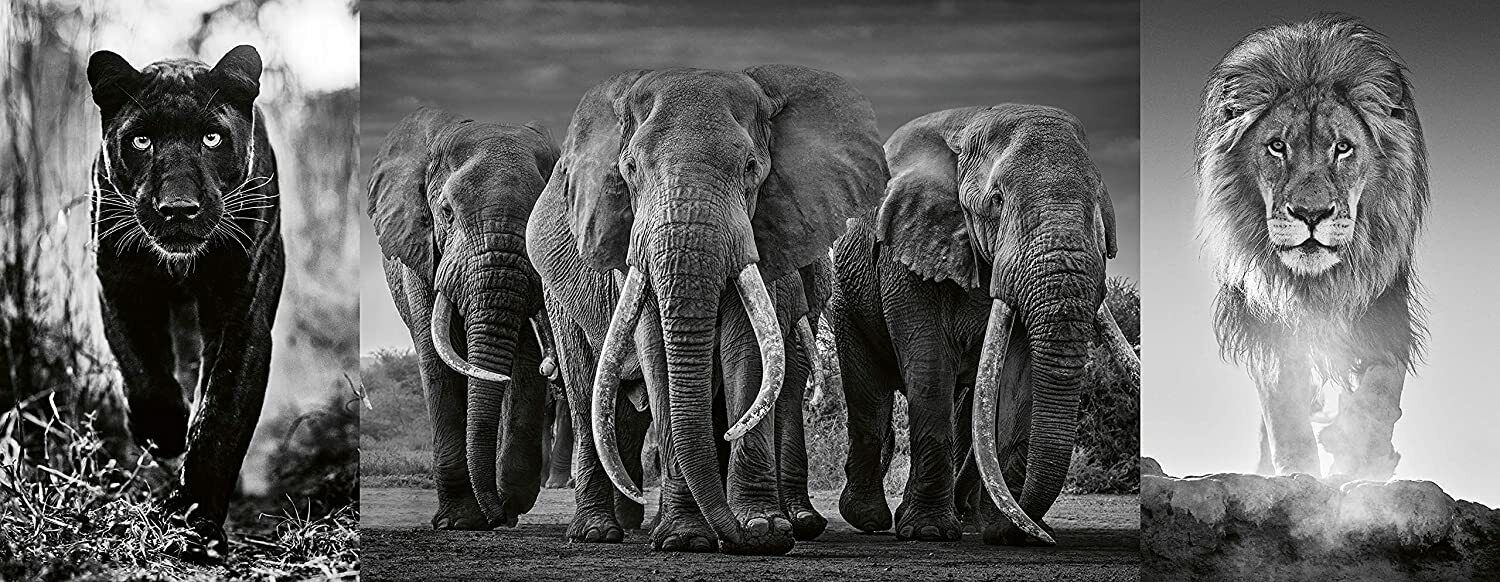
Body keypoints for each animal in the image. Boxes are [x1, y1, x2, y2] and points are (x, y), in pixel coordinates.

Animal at [369, 107, 561, 529]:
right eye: (446, 213)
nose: (498, 517)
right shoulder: (420, 251)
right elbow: (435, 357)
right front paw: (459, 521)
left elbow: (525, 360)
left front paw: (508, 504)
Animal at [525, 66, 887, 555]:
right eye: (630, 169)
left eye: (751, 167)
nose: (742, 536)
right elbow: (657, 351)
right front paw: (686, 539)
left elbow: (748, 350)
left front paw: (764, 529)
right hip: (559, 298)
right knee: (586, 394)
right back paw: (597, 532)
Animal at [830, 105, 1140, 546]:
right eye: (996, 202)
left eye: (1101, 207)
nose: (1035, 534)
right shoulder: (909, 245)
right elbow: (928, 362)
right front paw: (928, 532)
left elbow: (1017, 375)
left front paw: (1006, 533)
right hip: (846, 297)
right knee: (868, 392)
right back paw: (869, 518)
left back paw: (969, 521)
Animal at [1195, 14, 1427, 482]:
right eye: (1276, 146)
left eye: (1343, 148)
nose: (1311, 213)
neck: (1317, 281)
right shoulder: (1265, 312)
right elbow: (1283, 401)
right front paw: (1299, 472)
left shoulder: (1384, 300)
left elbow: (1382, 383)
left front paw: (1362, 456)